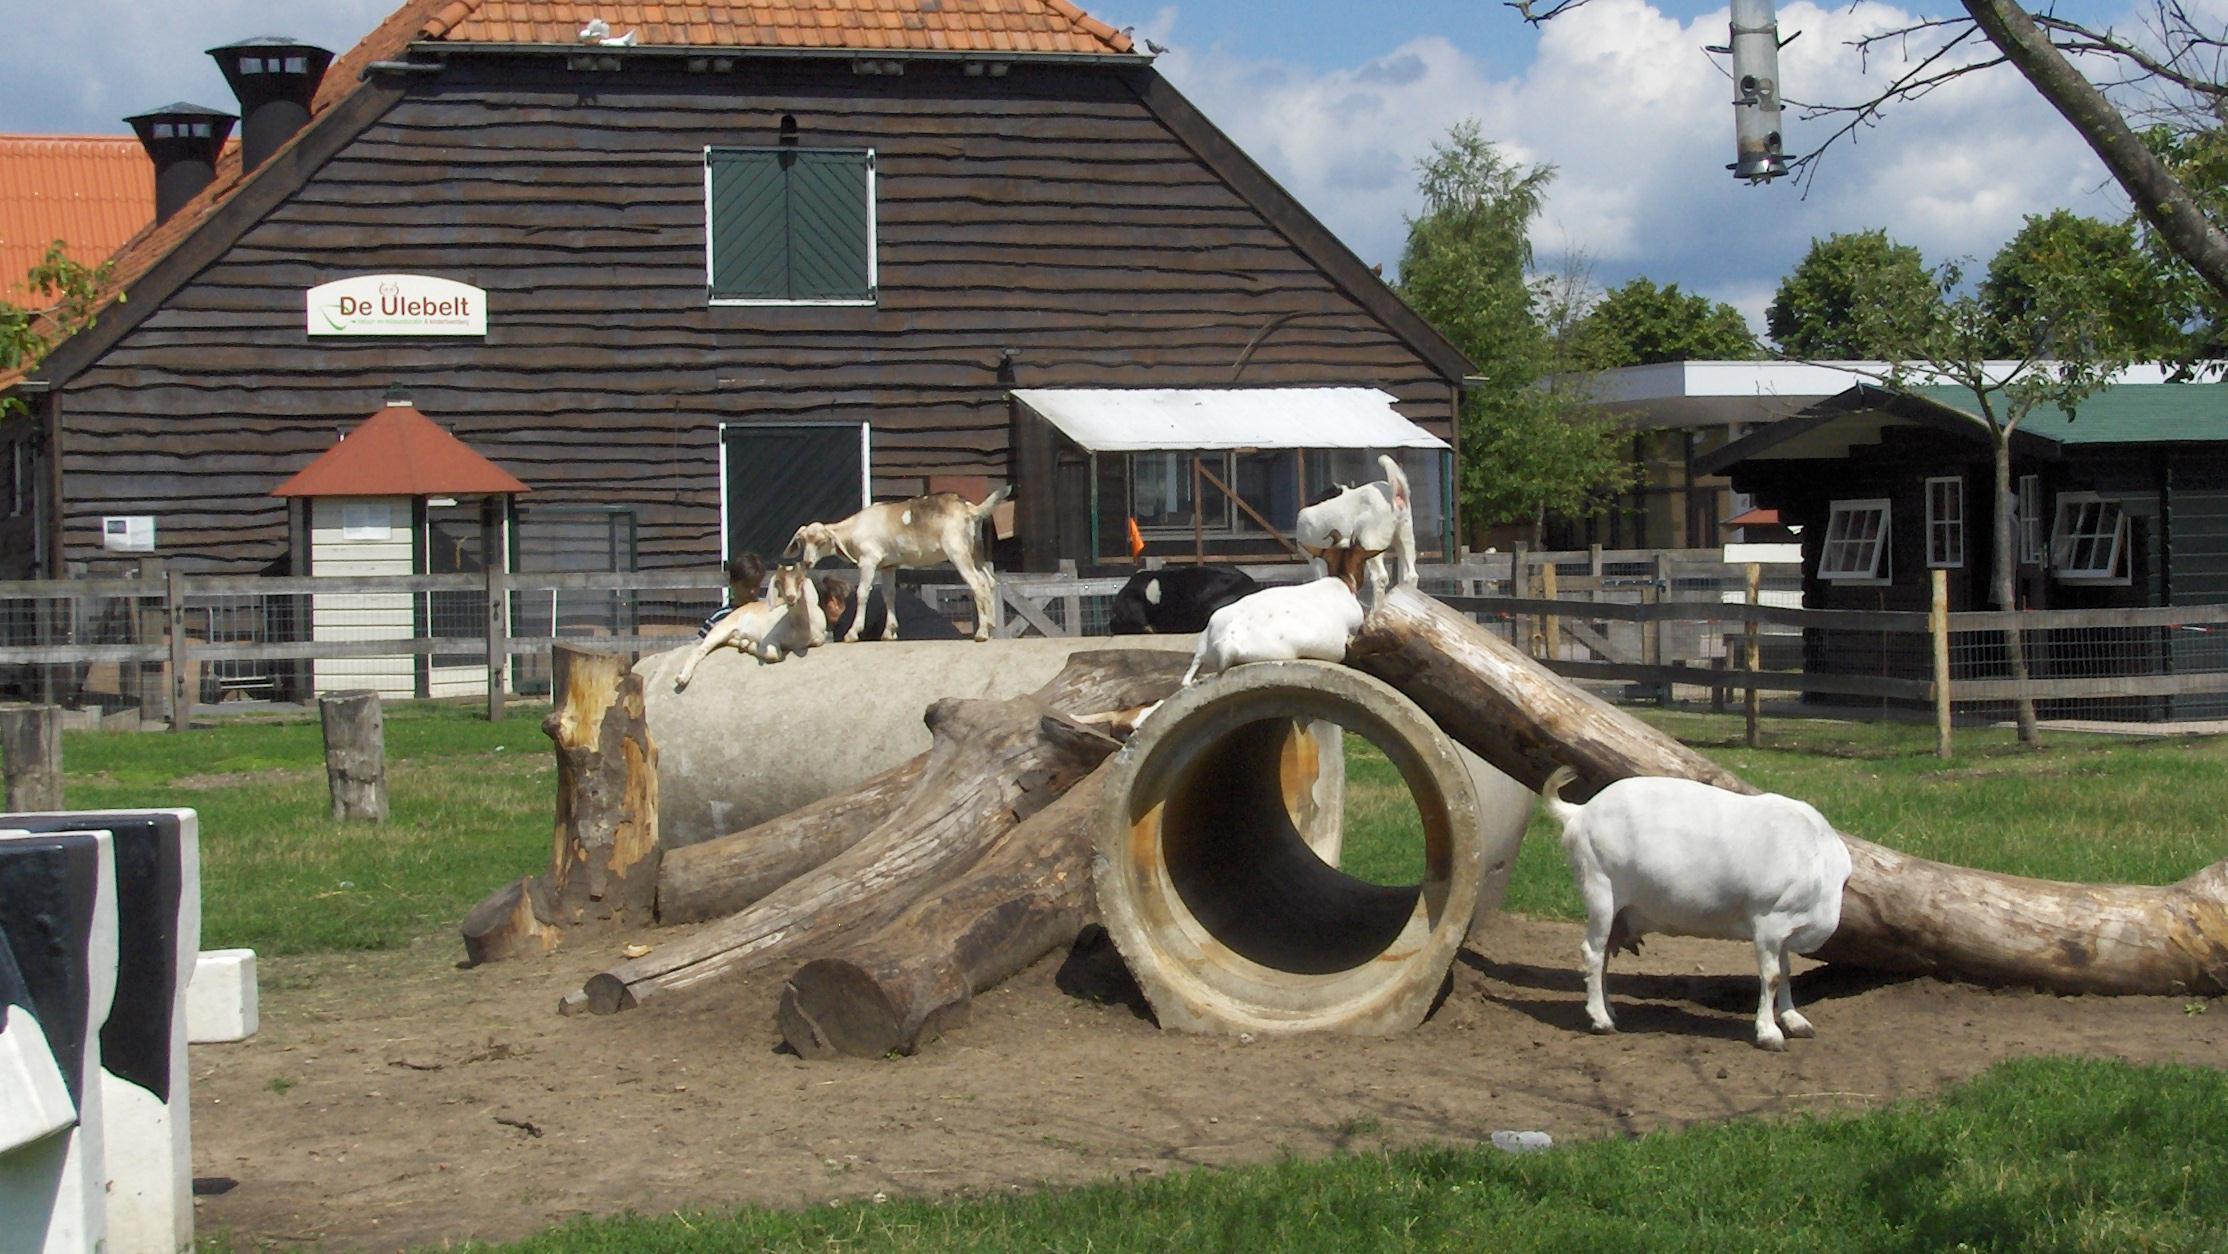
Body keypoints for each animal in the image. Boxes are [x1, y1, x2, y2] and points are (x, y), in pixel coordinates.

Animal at [677, 565, 828, 690]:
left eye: (800, 579)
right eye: (779, 581)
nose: (791, 597)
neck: (800, 626)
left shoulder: (821, 636)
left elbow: (819, 640)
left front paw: (748, 645)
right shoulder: (770, 639)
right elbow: (773, 654)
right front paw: (753, 647)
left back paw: (743, 643)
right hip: (721, 629)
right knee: (699, 650)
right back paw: (682, 679)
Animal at [784, 487, 1011, 645]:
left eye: (821, 542)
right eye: (802, 542)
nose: (807, 561)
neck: (854, 528)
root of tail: (970, 509)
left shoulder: (869, 560)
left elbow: (862, 593)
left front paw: (853, 633)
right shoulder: (888, 565)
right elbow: (889, 594)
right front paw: (889, 632)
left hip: (958, 551)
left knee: (977, 584)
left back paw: (981, 633)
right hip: (976, 552)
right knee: (989, 582)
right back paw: (991, 627)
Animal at [1301, 454, 1417, 610]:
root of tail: (1394, 494)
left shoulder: (1317, 560)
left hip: (1371, 540)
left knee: (1380, 577)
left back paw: (1375, 611)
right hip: (1405, 534)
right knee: (1410, 575)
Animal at [1541, 770, 1853, 1055]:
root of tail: (1580, 813)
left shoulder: (1786, 929)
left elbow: (1786, 972)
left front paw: (1794, 1020)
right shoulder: (1769, 922)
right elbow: (1773, 976)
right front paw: (1768, 1033)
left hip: (1618, 910)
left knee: (1604, 953)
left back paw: (1607, 1010)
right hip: (1600, 888)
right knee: (1592, 952)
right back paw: (1601, 1020)